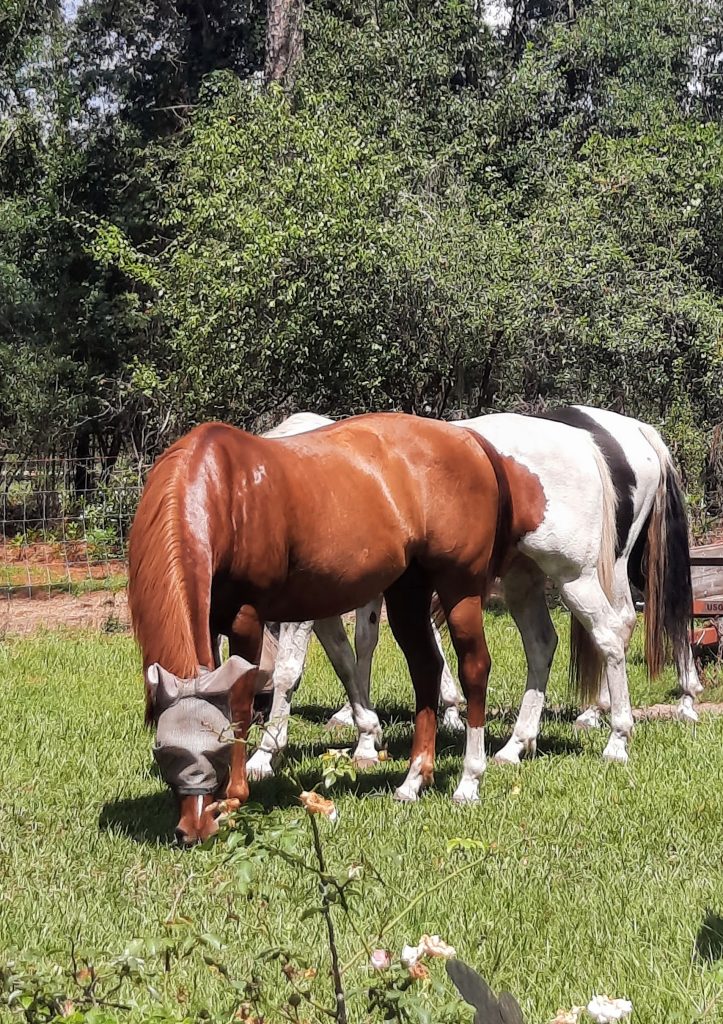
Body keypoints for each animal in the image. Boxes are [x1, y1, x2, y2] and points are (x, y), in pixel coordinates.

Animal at [128, 412, 529, 844]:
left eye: (216, 749)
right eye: (165, 752)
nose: (195, 829)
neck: (222, 490)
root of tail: (466, 438)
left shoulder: (245, 619)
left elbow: (241, 703)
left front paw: (236, 796)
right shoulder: (213, 622)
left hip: (460, 589)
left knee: (475, 669)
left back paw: (469, 781)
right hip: (407, 590)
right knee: (425, 668)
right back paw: (413, 781)